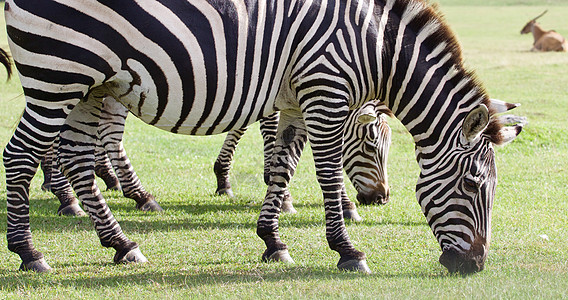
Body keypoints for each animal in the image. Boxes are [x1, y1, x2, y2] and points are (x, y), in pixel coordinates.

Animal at [2, 0, 524, 274]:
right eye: (473, 186)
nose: (475, 265)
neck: (372, 47)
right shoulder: (325, 91)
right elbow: (326, 172)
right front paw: (347, 249)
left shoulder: (294, 100)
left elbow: (281, 167)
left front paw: (272, 239)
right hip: (59, 74)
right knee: (21, 154)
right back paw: (30, 252)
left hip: (93, 86)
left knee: (76, 158)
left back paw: (121, 243)